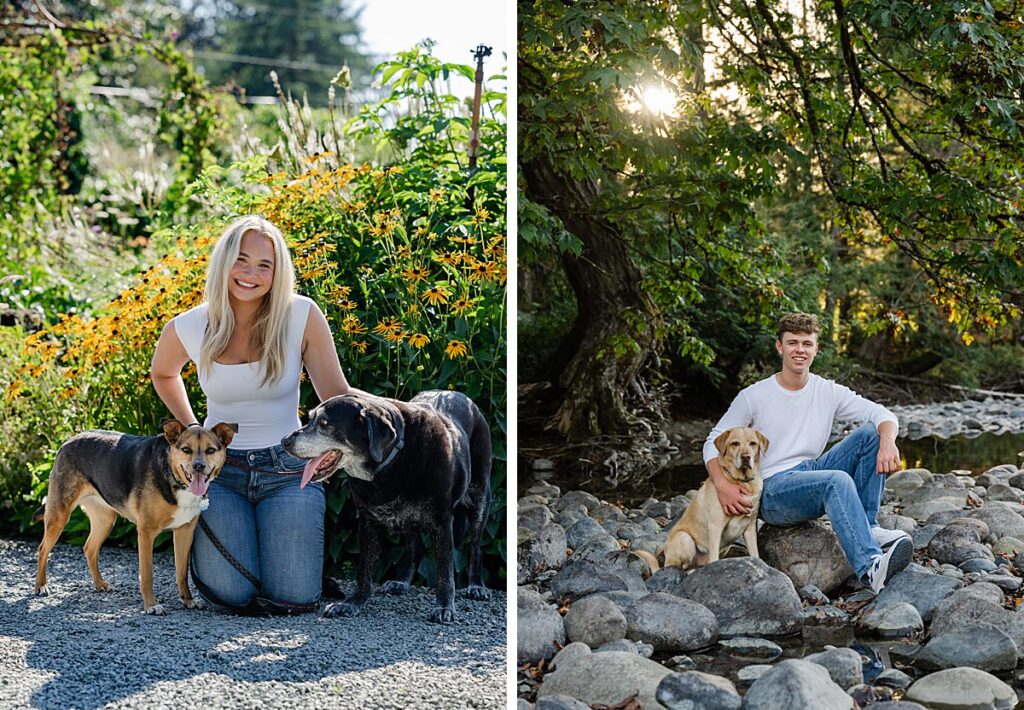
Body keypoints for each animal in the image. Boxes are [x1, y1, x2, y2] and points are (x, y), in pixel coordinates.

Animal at [34, 418, 235, 610]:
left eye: (210, 450)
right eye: (186, 449)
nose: (199, 466)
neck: (174, 479)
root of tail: (69, 441)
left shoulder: (184, 532)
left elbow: (181, 573)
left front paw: (188, 601)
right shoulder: (146, 532)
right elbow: (147, 575)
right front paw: (151, 606)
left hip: (105, 519)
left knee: (89, 548)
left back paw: (99, 584)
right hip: (59, 515)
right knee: (43, 548)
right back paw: (41, 586)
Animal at [278, 387, 489, 618]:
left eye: (324, 423)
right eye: (310, 418)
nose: (284, 441)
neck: (390, 462)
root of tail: (458, 395)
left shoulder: (442, 520)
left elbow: (445, 570)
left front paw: (444, 606)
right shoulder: (366, 520)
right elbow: (364, 568)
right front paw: (353, 602)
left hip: (479, 499)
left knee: (475, 547)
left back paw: (477, 585)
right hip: (409, 518)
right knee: (414, 549)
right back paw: (401, 581)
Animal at [638, 426, 770, 569]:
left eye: (753, 443)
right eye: (735, 443)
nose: (746, 457)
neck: (742, 481)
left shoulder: (750, 527)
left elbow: (755, 554)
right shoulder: (716, 525)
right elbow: (714, 558)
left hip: (724, 548)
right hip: (685, 539)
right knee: (679, 567)